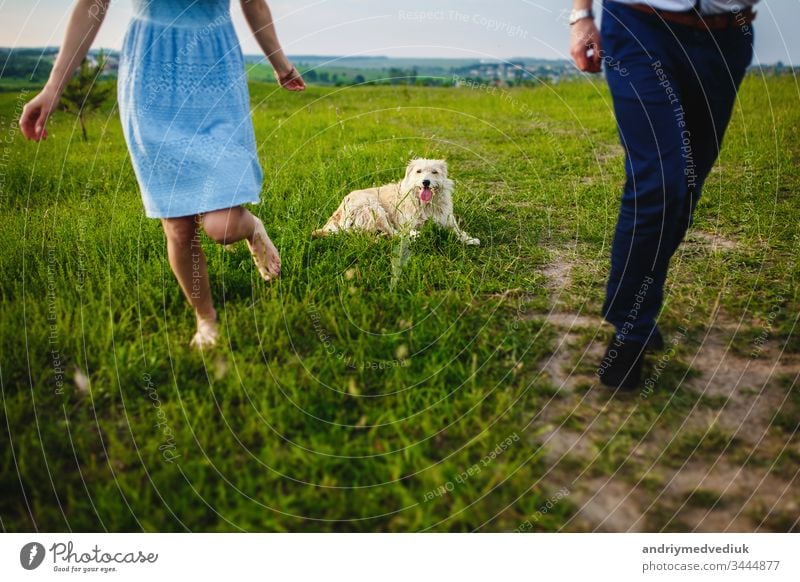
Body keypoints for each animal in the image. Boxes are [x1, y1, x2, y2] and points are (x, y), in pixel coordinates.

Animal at [312, 159, 478, 245]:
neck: (426, 204)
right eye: (418, 171)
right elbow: (405, 231)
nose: (426, 182)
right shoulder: (407, 223)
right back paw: (414, 236)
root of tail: (339, 211)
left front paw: (468, 238)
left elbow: (457, 230)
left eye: (434, 172)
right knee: (394, 234)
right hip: (374, 209)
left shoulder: (446, 220)